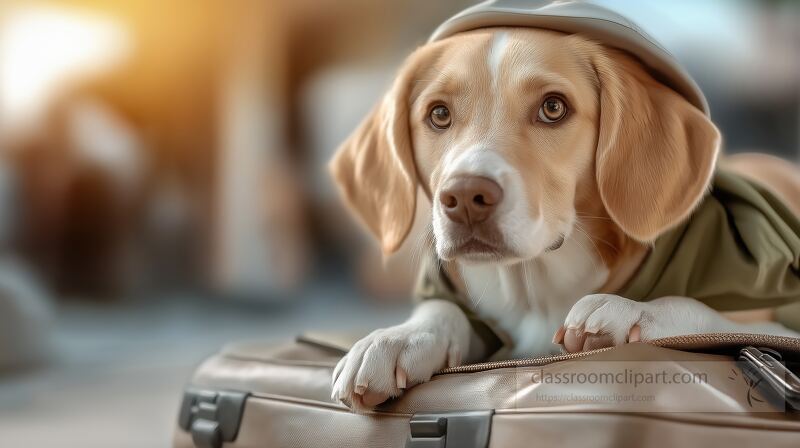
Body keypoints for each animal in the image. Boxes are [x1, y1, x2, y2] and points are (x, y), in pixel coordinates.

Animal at [324, 25, 800, 410]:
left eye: (553, 108)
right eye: (438, 114)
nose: (464, 197)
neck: (534, 287)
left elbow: (700, 310)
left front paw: (633, 311)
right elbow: (442, 309)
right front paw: (396, 338)